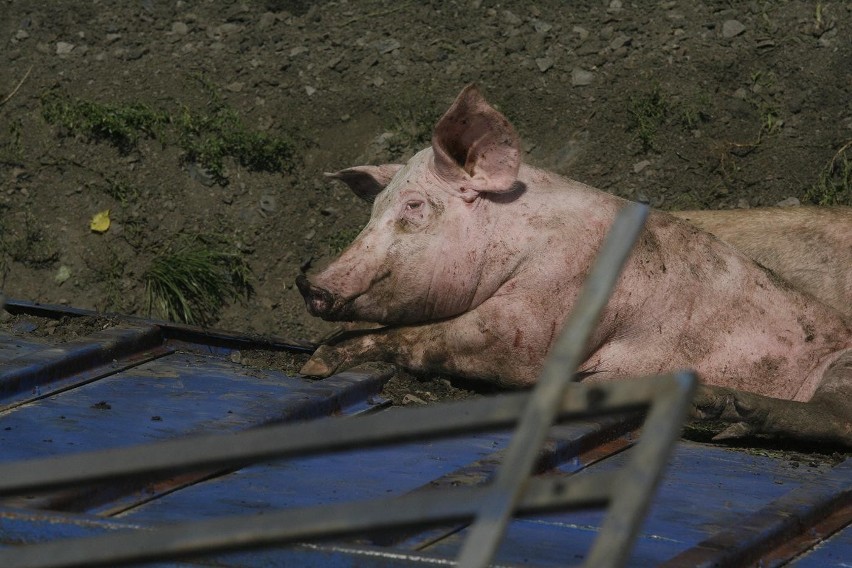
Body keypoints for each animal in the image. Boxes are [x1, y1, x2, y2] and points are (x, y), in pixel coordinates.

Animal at [294, 84, 852, 448]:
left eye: (413, 207)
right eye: (373, 210)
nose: (312, 285)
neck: (517, 241)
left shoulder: (537, 319)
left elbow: (435, 338)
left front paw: (316, 363)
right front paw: (314, 361)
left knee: (837, 418)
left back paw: (724, 410)